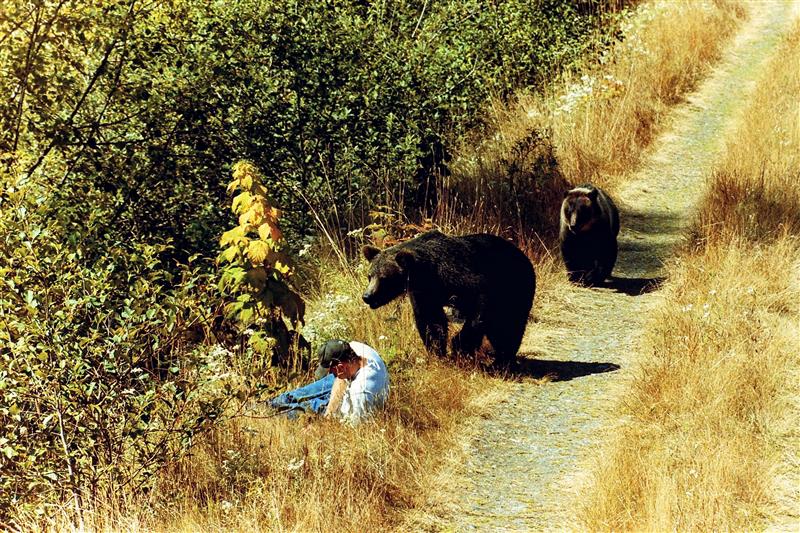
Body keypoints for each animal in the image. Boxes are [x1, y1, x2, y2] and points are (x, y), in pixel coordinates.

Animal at [362, 229, 536, 366]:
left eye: (384, 278)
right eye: (369, 276)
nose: (367, 296)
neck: (428, 273)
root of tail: (523, 255)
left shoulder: (463, 275)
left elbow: (480, 308)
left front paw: (459, 346)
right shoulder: (424, 293)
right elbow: (431, 321)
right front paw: (437, 351)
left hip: (515, 286)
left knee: (508, 323)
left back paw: (503, 360)